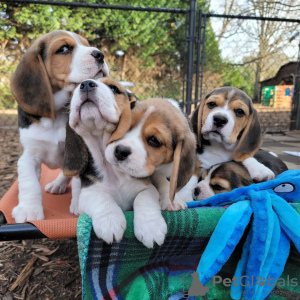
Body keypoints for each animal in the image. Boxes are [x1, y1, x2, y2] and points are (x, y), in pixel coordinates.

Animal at [10, 30, 109, 223]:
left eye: (87, 44)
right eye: (63, 49)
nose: (100, 54)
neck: (54, 116)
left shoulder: (80, 150)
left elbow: (78, 180)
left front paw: (78, 203)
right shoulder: (28, 156)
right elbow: (30, 183)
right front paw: (29, 210)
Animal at [64, 81, 196, 247]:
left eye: (154, 140)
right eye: (124, 127)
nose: (120, 151)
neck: (115, 173)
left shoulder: (147, 187)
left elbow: (144, 198)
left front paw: (150, 227)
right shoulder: (89, 193)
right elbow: (101, 198)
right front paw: (110, 221)